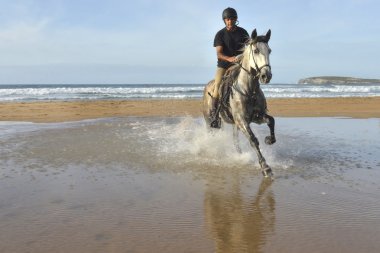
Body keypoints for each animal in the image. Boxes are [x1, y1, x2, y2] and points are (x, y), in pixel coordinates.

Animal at [202, 29, 276, 178]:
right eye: (256, 50)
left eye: (269, 51)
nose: (266, 76)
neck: (249, 89)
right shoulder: (242, 120)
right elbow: (253, 140)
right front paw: (265, 167)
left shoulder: (256, 117)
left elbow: (271, 121)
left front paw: (269, 140)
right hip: (209, 120)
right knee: (211, 133)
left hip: (234, 124)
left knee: (235, 140)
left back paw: (239, 154)